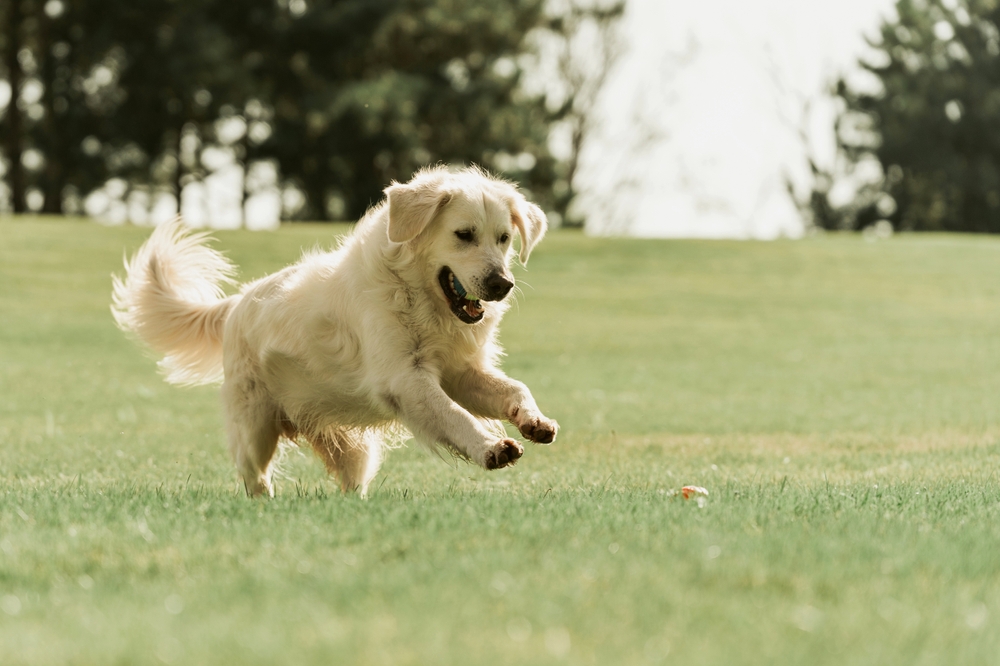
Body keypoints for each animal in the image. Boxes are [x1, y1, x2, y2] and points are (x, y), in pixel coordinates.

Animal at [115, 169, 564, 496]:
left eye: (504, 238)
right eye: (464, 235)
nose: (502, 284)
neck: (416, 294)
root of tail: (239, 300)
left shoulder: (460, 372)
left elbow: (514, 388)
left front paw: (533, 421)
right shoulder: (406, 379)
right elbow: (455, 415)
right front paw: (491, 447)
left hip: (351, 448)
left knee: (350, 484)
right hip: (255, 427)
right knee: (253, 475)